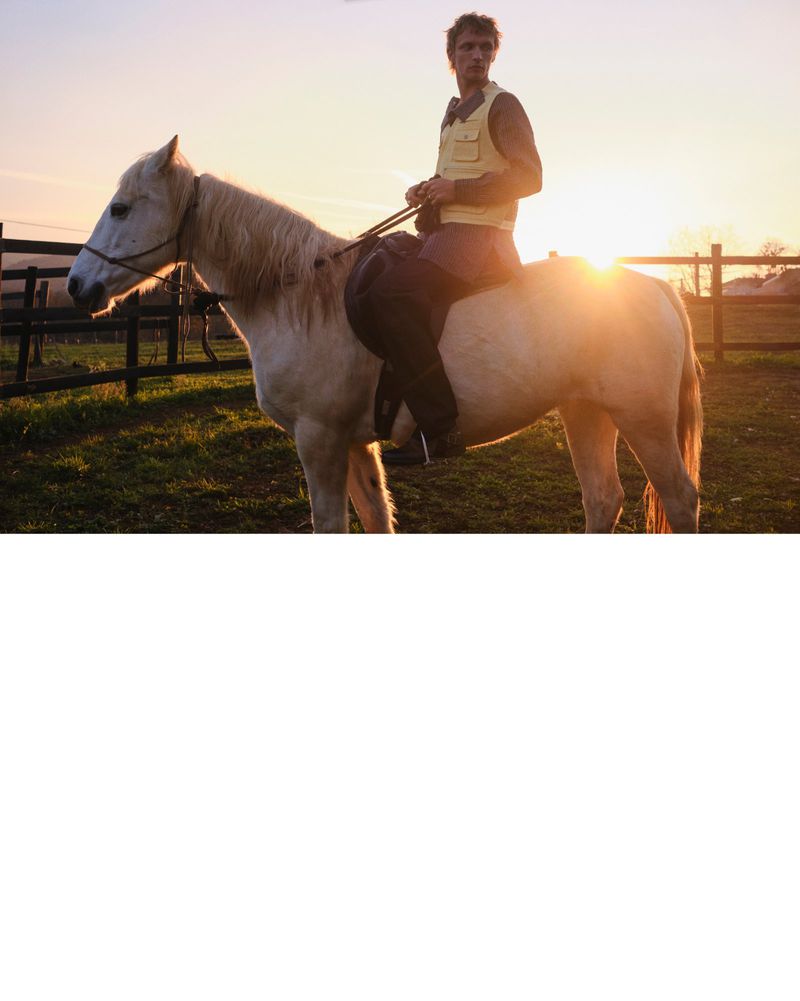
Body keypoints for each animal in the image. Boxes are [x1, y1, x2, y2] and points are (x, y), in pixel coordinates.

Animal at [67, 136, 702, 533]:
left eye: (120, 208)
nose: (76, 285)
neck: (300, 298)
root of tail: (655, 286)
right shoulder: (354, 443)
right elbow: (376, 520)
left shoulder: (319, 439)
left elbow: (331, 526)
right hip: (585, 411)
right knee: (603, 500)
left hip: (642, 418)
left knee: (679, 499)